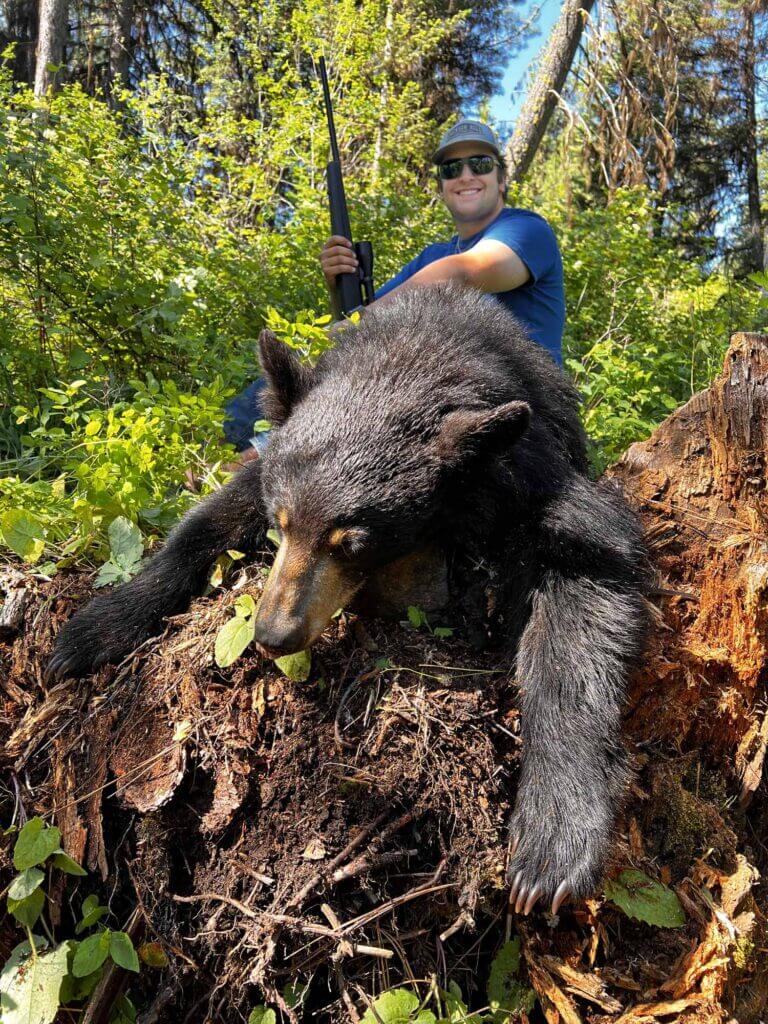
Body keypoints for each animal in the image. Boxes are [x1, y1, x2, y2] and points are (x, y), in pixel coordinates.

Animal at [47, 282, 648, 916]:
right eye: (280, 524)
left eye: (353, 543)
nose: (273, 634)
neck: (420, 352)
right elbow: (207, 523)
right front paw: (94, 629)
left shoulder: (532, 477)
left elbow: (586, 585)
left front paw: (554, 841)